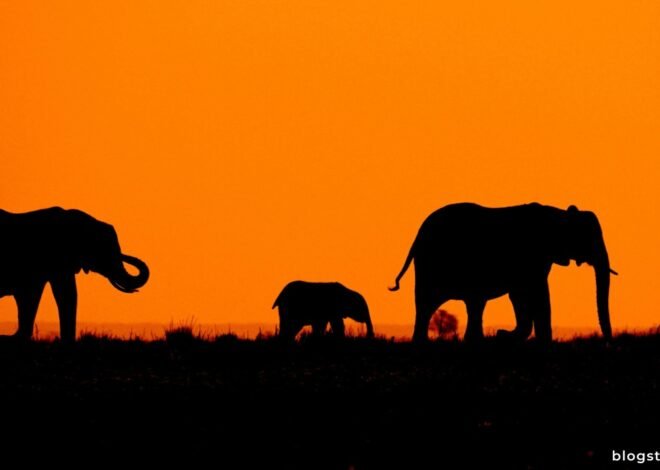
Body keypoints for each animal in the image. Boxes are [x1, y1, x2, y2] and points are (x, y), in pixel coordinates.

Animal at [390, 204, 616, 344]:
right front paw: (506, 336)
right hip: (430, 265)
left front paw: (503, 335)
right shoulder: (533, 257)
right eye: (589, 238)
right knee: (429, 304)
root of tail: (417, 236)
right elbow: (537, 294)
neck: (559, 214)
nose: (607, 343)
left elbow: (520, 296)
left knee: (470, 304)